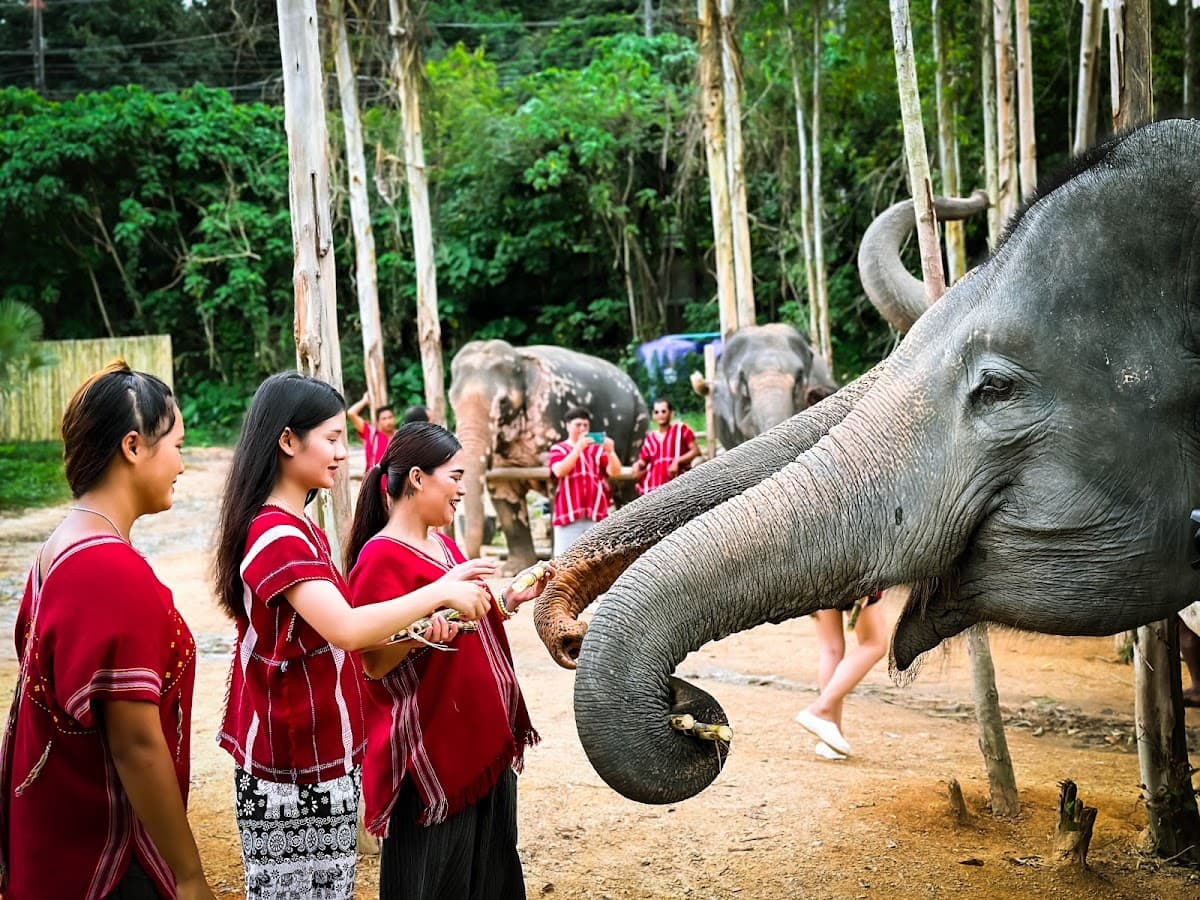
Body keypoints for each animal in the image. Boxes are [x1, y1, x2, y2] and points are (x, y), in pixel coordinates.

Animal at [449, 339, 648, 573]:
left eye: (504, 402)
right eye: (452, 401)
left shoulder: (551, 414)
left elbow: (555, 485)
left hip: (638, 424)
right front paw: (511, 569)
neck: (519, 358)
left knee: (625, 486)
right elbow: (503, 490)